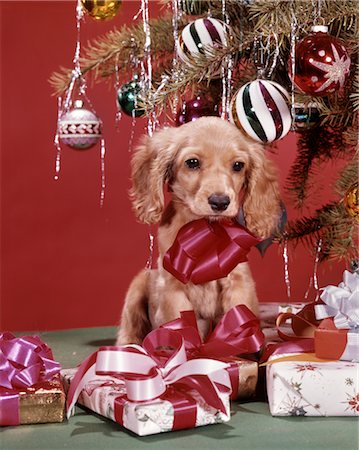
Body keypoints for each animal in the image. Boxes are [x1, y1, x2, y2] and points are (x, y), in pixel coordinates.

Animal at [117, 116, 282, 344]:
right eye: (192, 163)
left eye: (238, 165)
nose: (220, 202)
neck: (205, 230)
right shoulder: (173, 287)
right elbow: (184, 330)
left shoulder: (239, 280)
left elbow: (240, 318)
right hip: (139, 283)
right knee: (128, 330)